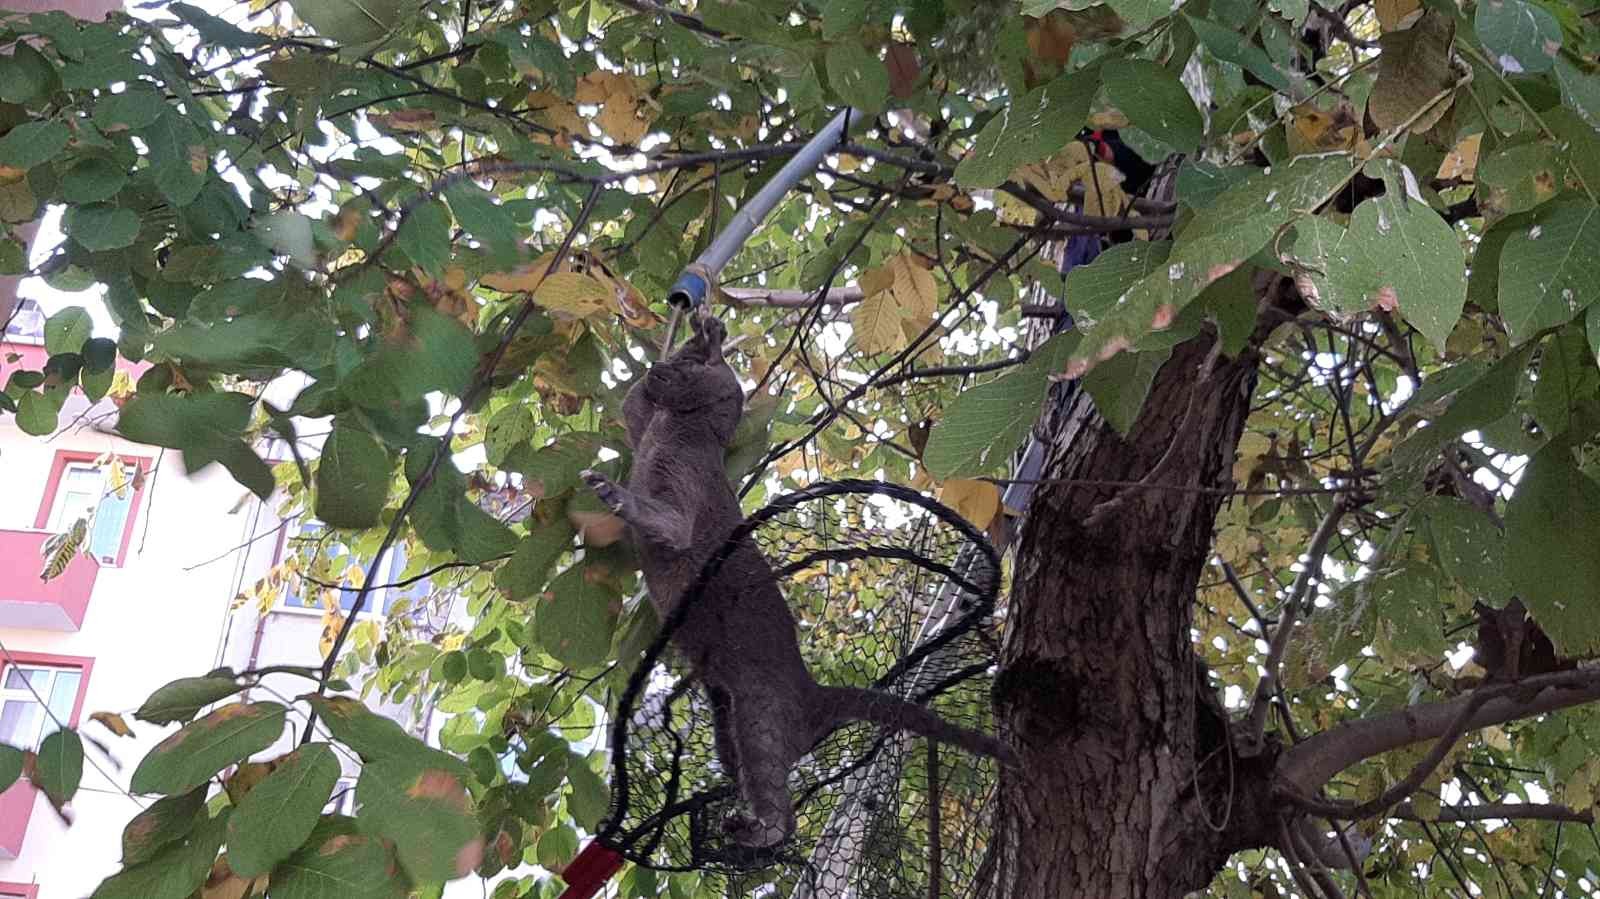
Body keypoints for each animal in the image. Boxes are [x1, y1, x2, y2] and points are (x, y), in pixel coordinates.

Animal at [585, 307, 1011, 844]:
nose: (658, 369)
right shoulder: (644, 425)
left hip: (757, 711)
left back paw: (753, 834)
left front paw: (612, 491)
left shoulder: (680, 502)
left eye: (688, 372)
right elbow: (633, 407)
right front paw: (702, 328)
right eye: (678, 362)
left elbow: (663, 517)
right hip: (726, 720)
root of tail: (813, 695)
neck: (679, 432)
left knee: (781, 810)